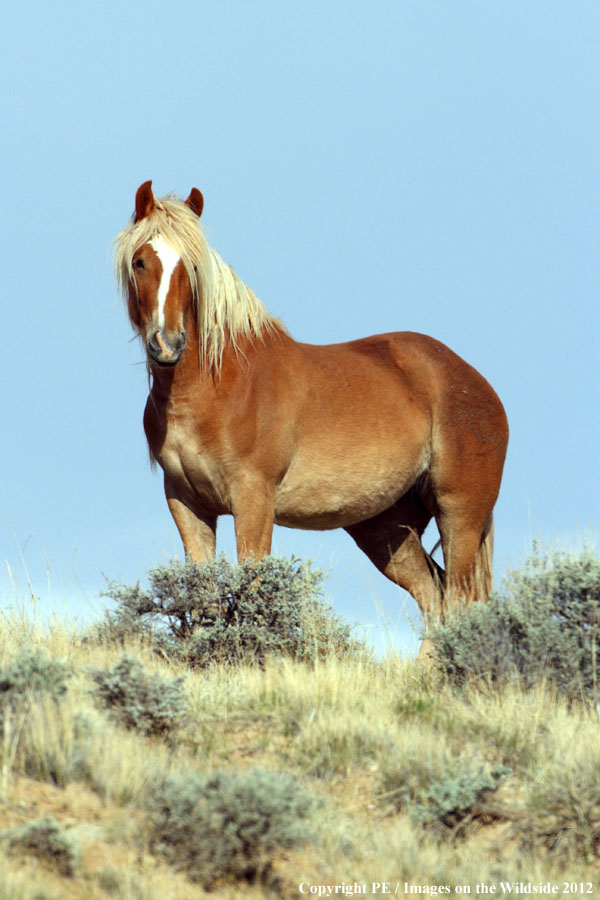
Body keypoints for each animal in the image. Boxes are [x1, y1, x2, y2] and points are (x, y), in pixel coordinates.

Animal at [115, 181, 509, 656]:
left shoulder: (253, 499)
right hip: (385, 529)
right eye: (141, 261)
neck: (216, 385)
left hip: (459, 514)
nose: (167, 344)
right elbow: (203, 598)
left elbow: (254, 589)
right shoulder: (186, 504)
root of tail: (473, 380)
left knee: (461, 598)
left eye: (192, 265)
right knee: (435, 597)